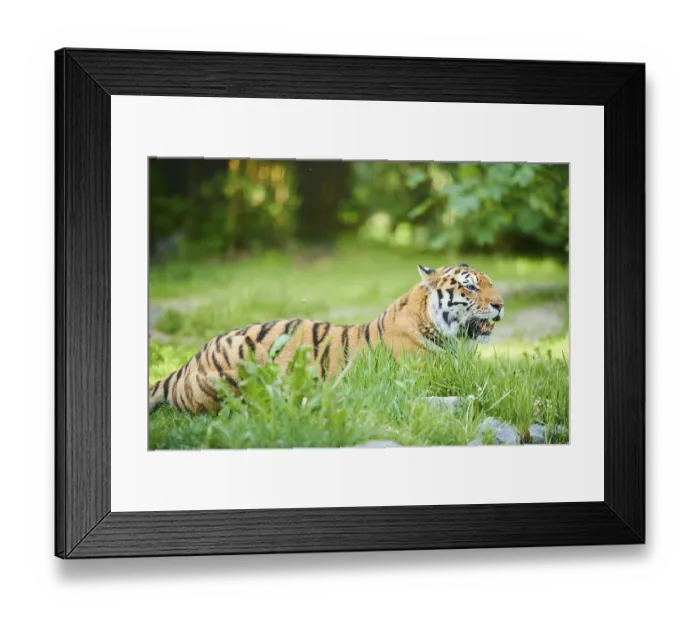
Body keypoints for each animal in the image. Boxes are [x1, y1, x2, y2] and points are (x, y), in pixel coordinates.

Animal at [148, 262, 504, 414]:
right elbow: (440, 399)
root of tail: (186, 363)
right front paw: (470, 400)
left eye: (490, 283)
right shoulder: (397, 388)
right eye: (470, 286)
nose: (501, 304)